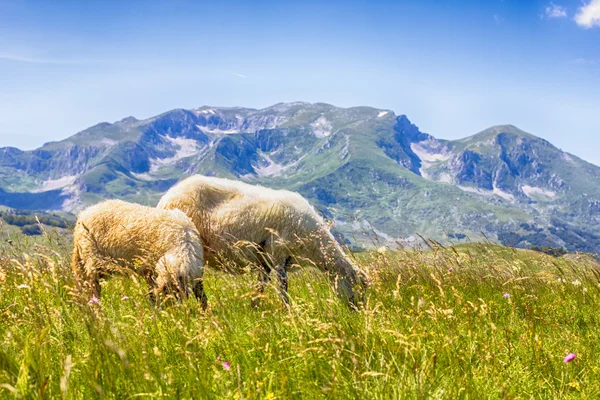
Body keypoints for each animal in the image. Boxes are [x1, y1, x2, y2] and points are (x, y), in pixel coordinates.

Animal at [71, 199, 207, 306]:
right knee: (92, 291)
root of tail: (84, 214)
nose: (175, 310)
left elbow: (202, 296)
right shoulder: (150, 268)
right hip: (91, 263)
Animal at [157, 175, 368, 310]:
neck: (314, 245)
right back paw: (203, 309)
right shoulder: (277, 252)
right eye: (357, 288)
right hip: (185, 245)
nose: (358, 311)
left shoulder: (264, 260)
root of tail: (166, 197)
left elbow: (261, 285)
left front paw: (255, 306)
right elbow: (283, 286)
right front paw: (287, 311)